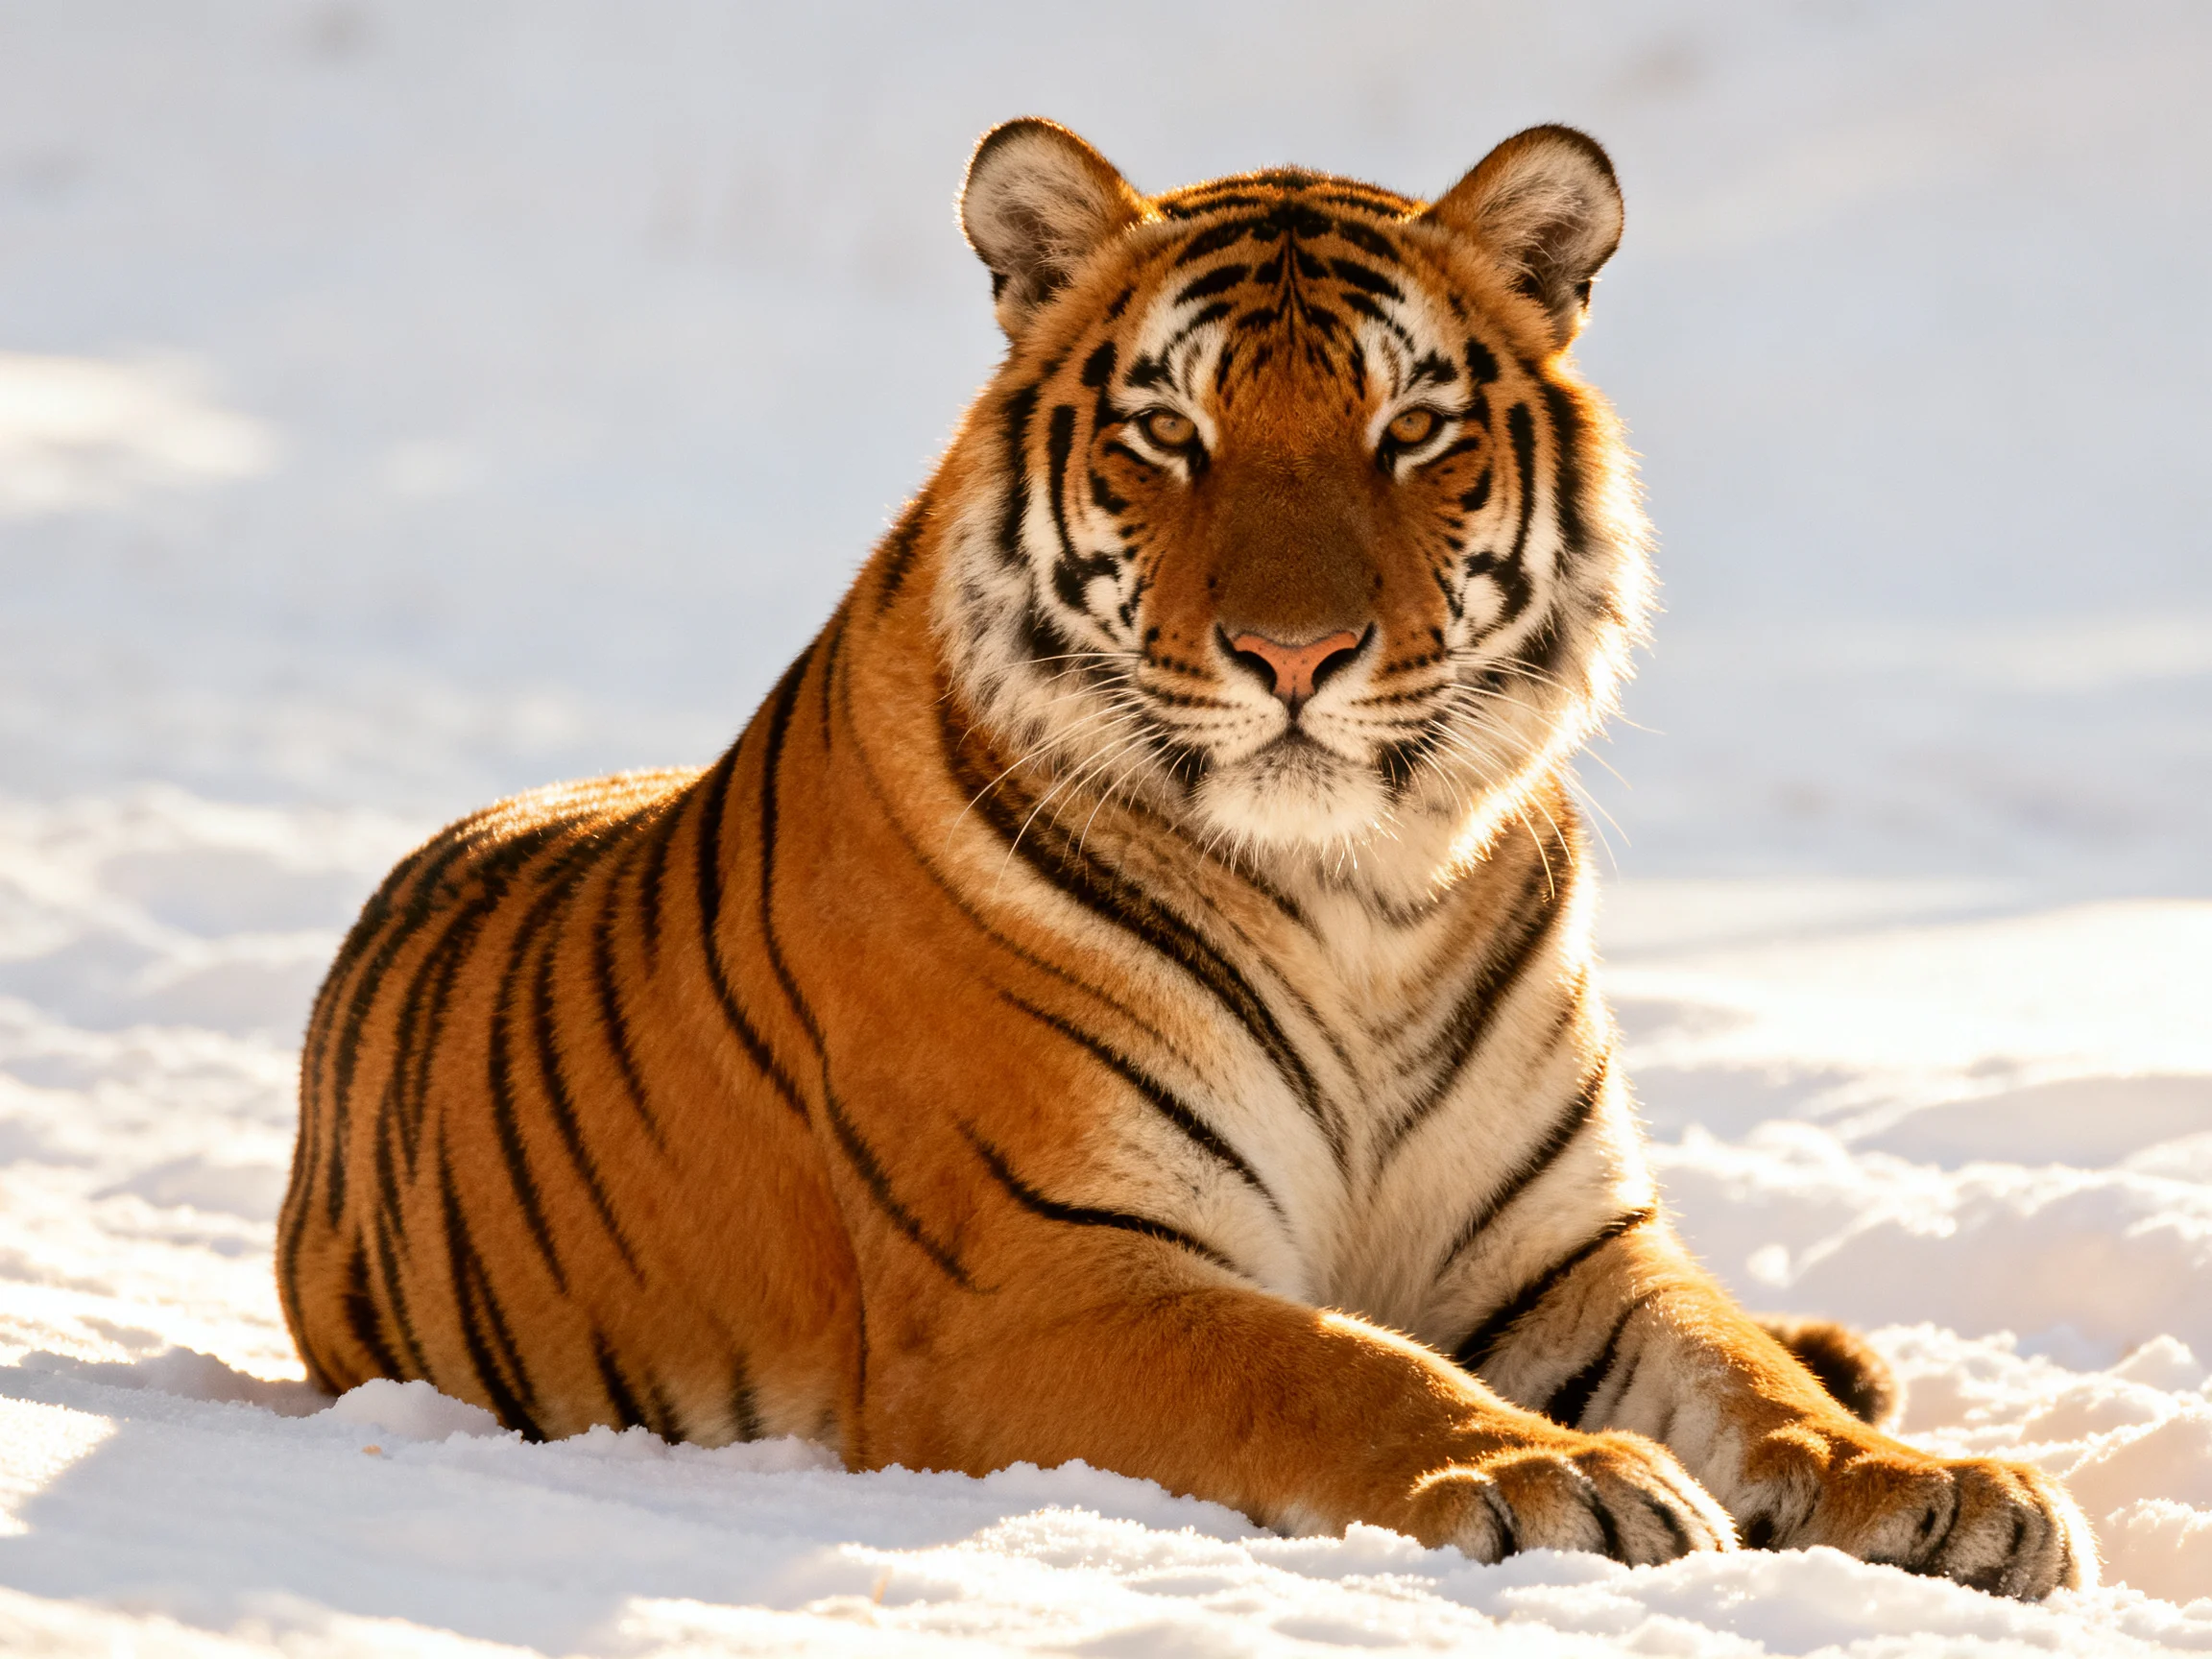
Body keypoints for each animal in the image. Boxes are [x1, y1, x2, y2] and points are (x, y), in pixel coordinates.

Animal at [279, 119, 2095, 1598]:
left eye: (1411, 428)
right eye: (1166, 431)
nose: (1294, 653)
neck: (1366, 898)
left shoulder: (1562, 1250)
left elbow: (1738, 1371)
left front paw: (1934, 1489)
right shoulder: (1039, 1275)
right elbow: (1322, 1360)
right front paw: (1546, 1472)